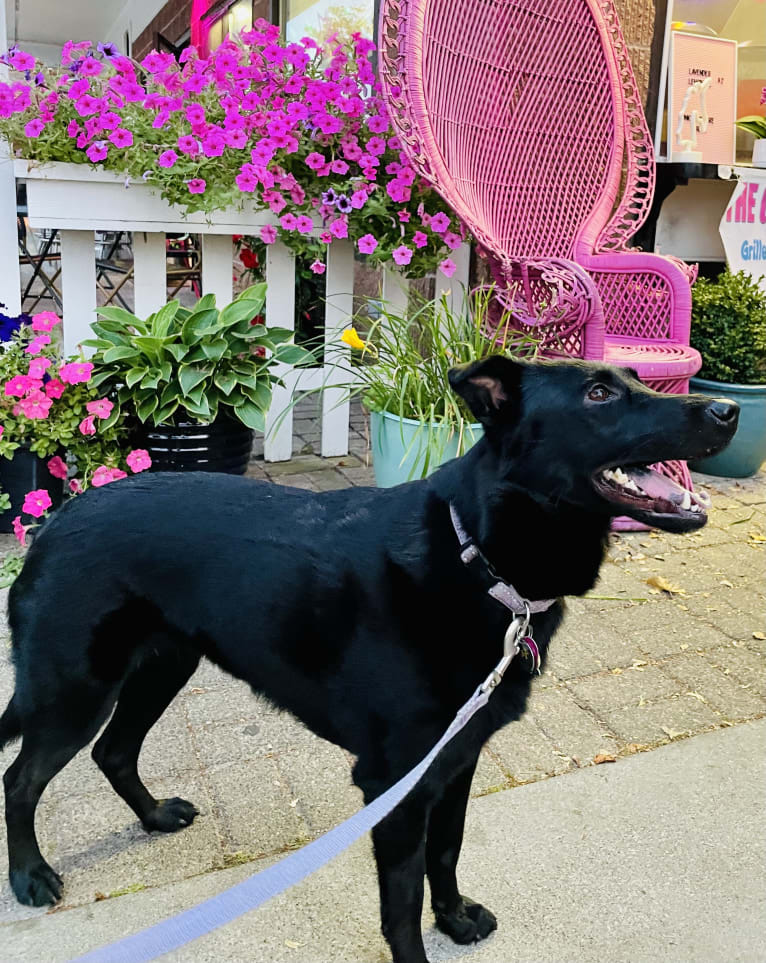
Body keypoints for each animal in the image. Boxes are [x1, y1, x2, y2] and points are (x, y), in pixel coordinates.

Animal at [0, 358, 736, 960]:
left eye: (635, 378)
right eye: (598, 393)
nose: (727, 410)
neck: (479, 560)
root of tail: (54, 521)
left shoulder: (456, 759)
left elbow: (448, 852)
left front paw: (456, 919)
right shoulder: (394, 781)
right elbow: (401, 907)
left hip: (161, 666)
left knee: (114, 751)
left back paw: (152, 817)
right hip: (75, 689)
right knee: (22, 778)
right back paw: (30, 876)